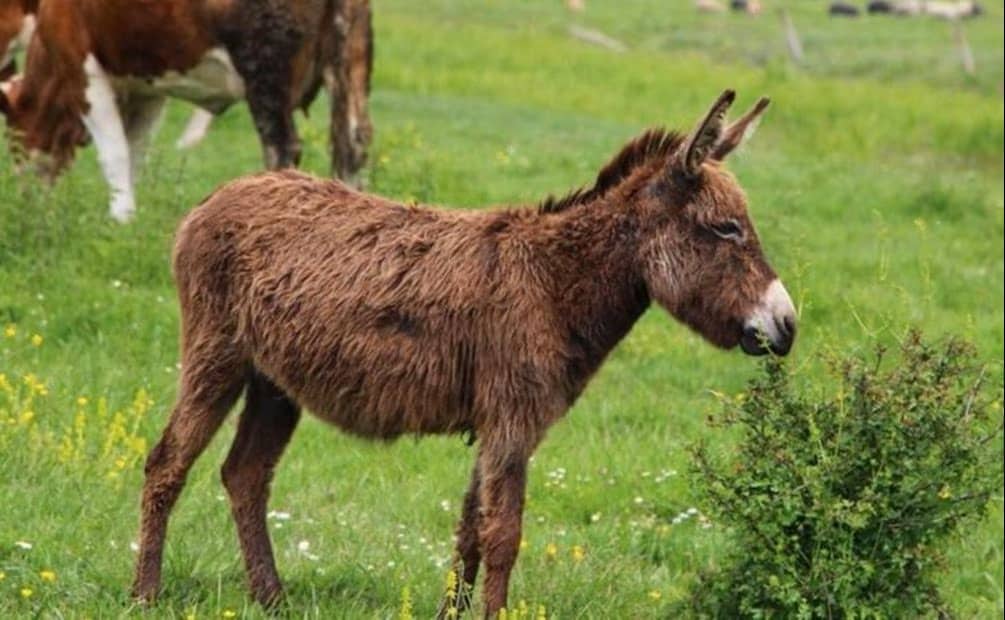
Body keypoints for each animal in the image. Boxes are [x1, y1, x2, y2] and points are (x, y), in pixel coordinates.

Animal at [0, 0, 373, 222]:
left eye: (14, 140)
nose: (25, 200)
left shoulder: (81, 66)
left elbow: (114, 154)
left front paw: (118, 216)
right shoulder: (146, 88)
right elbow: (135, 152)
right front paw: (129, 220)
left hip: (265, 74)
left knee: (282, 148)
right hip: (351, 61)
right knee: (354, 146)